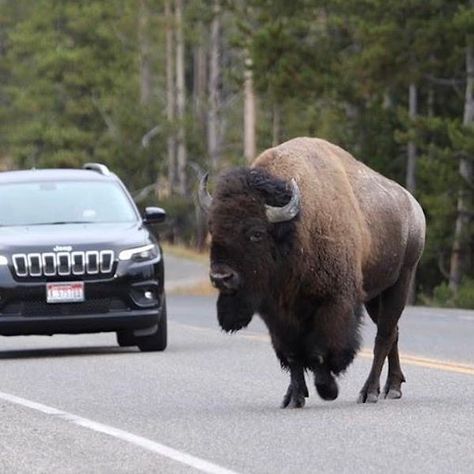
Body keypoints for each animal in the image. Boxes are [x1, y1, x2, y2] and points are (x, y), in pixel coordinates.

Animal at [198, 137, 428, 408]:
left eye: (256, 233)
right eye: (213, 229)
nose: (220, 277)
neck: (296, 228)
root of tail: (413, 207)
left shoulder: (333, 303)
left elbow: (320, 351)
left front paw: (327, 389)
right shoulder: (278, 315)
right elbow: (292, 354)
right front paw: (294, 398)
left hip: (401, 281)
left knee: (384, 335)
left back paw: (369, 392)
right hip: (374, 295)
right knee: (393, 333)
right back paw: (392, 387)